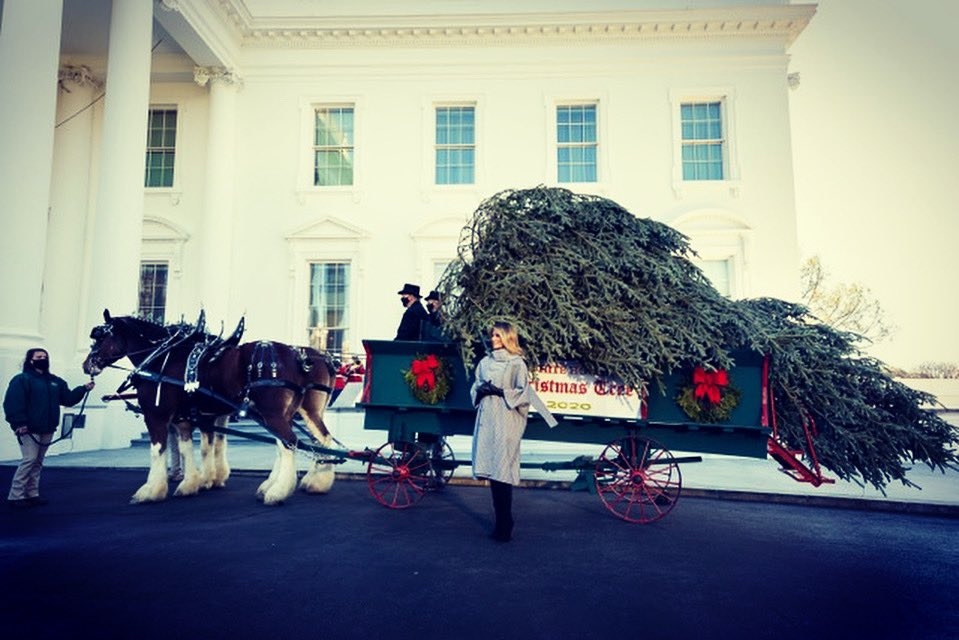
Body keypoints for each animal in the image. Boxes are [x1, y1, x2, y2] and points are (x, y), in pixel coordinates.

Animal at [83, 310, 338, 504]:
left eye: (100, 338)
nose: (87, 365)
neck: (164, 357)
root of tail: (300, 357)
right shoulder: (191, 417)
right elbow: (195, 447)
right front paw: (195, 482)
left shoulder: (157, 414)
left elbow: (159, 450)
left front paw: (151, 490)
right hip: (300, 412)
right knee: (317, 440)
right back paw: (312, 481)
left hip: (274, 413)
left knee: (290, 443)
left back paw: (277, 492)